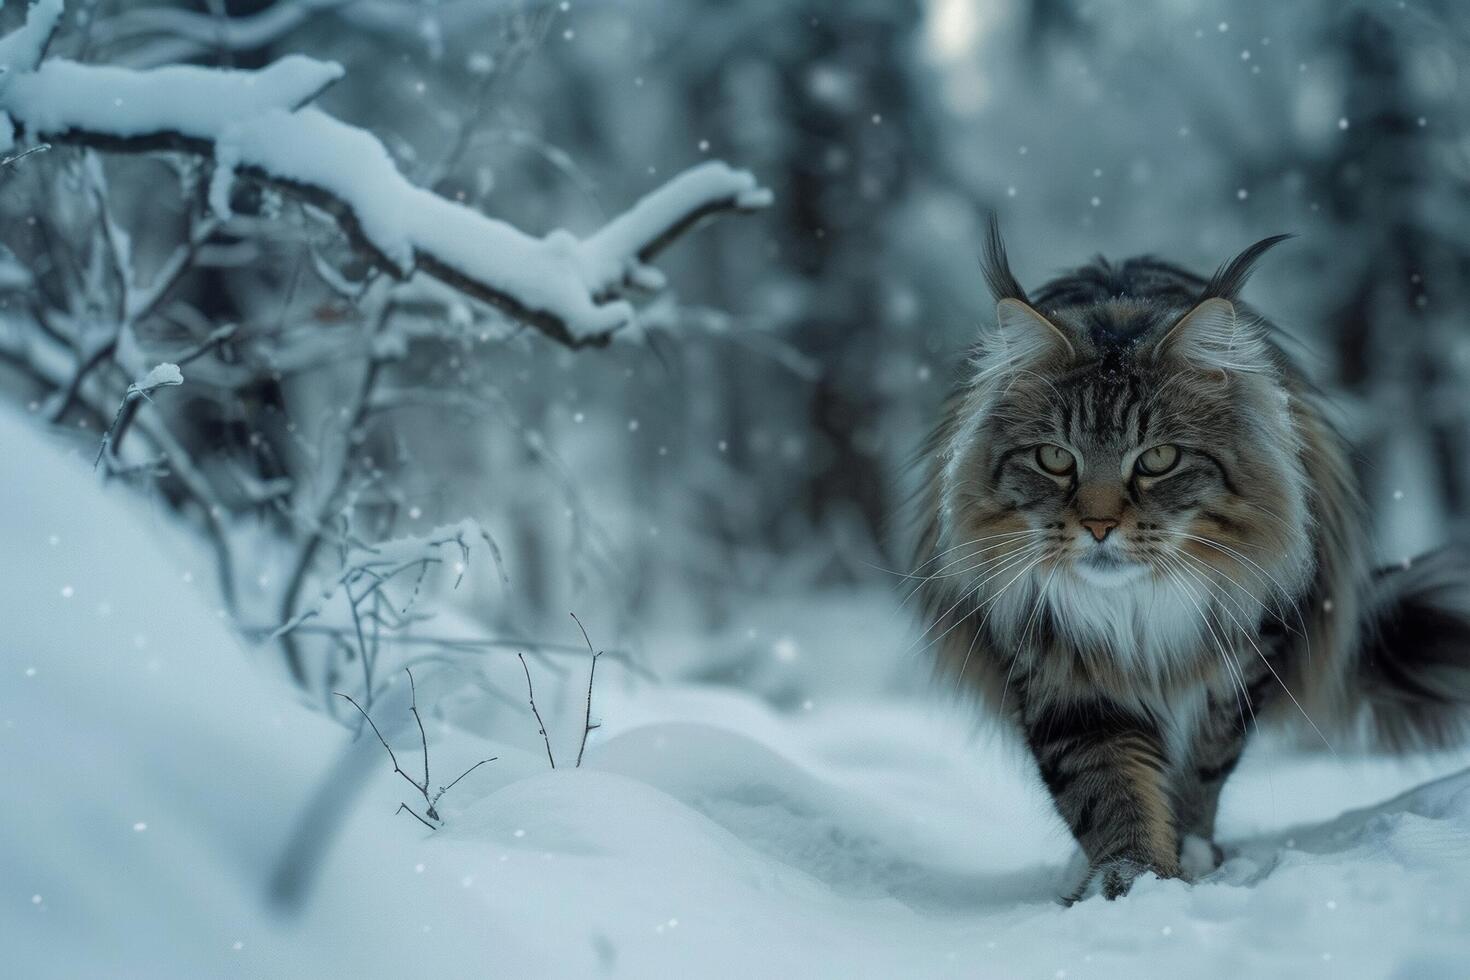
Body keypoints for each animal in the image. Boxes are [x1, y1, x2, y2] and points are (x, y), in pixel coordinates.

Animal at [917, 221, 1470, 905]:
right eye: (1055, 458)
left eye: (1158, 459)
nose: (1098, 526)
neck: (1134, 613)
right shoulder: (1058, 671)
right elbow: (1112, 789)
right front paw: (1130, 881)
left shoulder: (1239, 660)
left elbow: (1201, 771)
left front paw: (1188, 860)